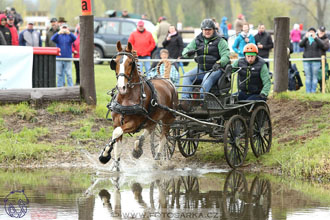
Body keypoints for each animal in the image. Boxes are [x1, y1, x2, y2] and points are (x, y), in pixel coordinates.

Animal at [98, 41, 178, 170]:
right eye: (115, 62)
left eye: (131, 63)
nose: (121, 87)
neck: (127, 97)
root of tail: (167, 80)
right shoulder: (117, 122)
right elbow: (116, 141)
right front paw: (112, 161)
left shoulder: (133, 123)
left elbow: (117, 133)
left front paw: (105, 155)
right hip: (153, 118)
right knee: (150, 129)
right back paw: (138, 146)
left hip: (168, 119)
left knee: (164, 137)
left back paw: (157, 160)